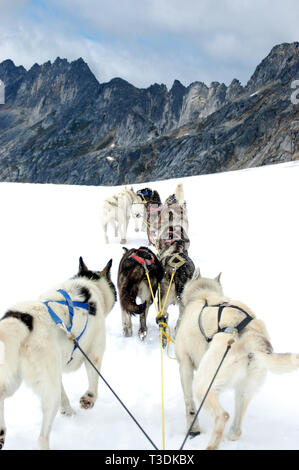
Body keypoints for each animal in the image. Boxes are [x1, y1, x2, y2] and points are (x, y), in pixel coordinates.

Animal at [0, 258, 116, 450]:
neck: (89, 283)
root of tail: (22, 320)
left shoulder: (57, 370)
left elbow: (64, 395)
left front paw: (68, 410)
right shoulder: (94, 353)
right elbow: (93, 383)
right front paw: (88, 400)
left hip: (15, 379)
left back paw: (1, 433)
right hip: (48, 393)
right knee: (42, 437)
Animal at [176, 272, 299, 452]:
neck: (203, 295)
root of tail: (252, 337)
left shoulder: (185, 364)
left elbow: (189, 403)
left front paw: (193, 429)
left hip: (204, 385)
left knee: (223, 415)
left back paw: (212, 445)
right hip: (244, 390)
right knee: (237, 428)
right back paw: (231, 435)